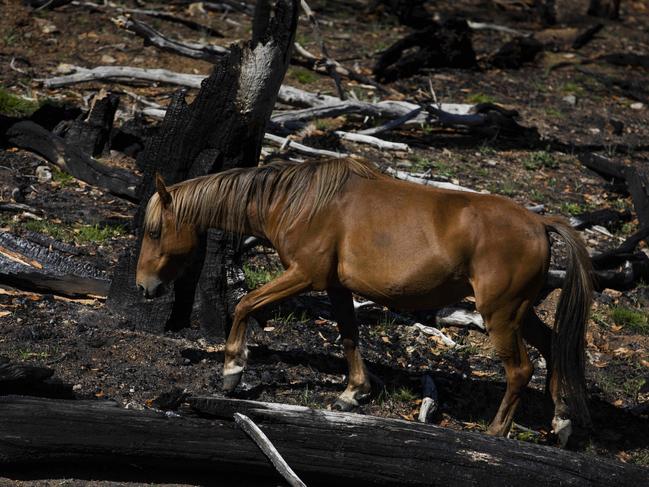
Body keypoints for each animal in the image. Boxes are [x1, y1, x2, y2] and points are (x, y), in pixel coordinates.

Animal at [137, 158, 592, 444]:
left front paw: (232, 369)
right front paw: (353, 392)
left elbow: (247, 304)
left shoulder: (304, 275)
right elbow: (349, 336)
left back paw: (498, 433)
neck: (301, 201)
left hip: (501, 315)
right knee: (553, 347)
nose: (144, 286)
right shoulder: (337, 287)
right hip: (519, 313)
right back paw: (563, 422)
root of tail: (540, 222)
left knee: (520, 370)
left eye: (155, 231)